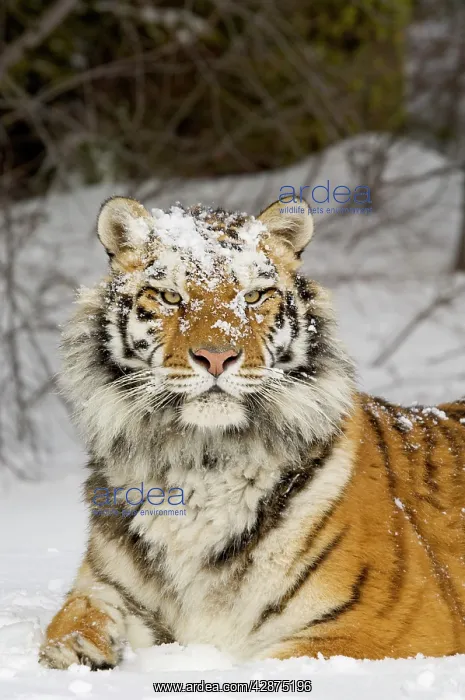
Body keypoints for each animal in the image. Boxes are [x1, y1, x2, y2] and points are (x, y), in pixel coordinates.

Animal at [39, 195, 465, 670]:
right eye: (170, 296)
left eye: (253, 296)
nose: (216, 357)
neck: (202, 460)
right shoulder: (107, 584)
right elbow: (75, 613)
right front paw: (74, 650)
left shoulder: (376, 629)